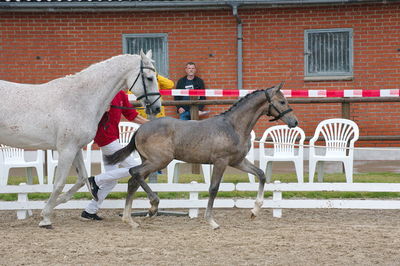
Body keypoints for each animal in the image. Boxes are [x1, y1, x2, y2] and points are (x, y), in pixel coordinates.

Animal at [0, 50, 160, 229]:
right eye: (149, 78)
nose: (157, 108)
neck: (79, 99)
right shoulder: (66, 149)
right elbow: (59, 184)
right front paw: (46, 218)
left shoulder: (75, 149)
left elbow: (82, 180)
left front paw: (49, 207)